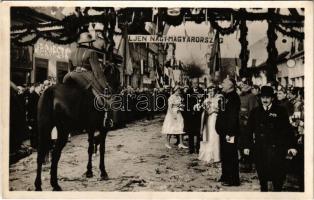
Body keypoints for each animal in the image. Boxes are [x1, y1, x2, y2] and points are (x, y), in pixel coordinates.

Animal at [34, 63, 120, 191]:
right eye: (117, 74)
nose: (119, 88)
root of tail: (50, 92)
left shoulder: (90, 129)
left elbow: (90, 148)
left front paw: (89, 171)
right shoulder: (102, 129)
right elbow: (102, 149)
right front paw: (102, 172)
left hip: (44, 128)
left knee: (41, 154)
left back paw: (39, 185)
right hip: (63, 131)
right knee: (55, 154)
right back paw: (55, 184)